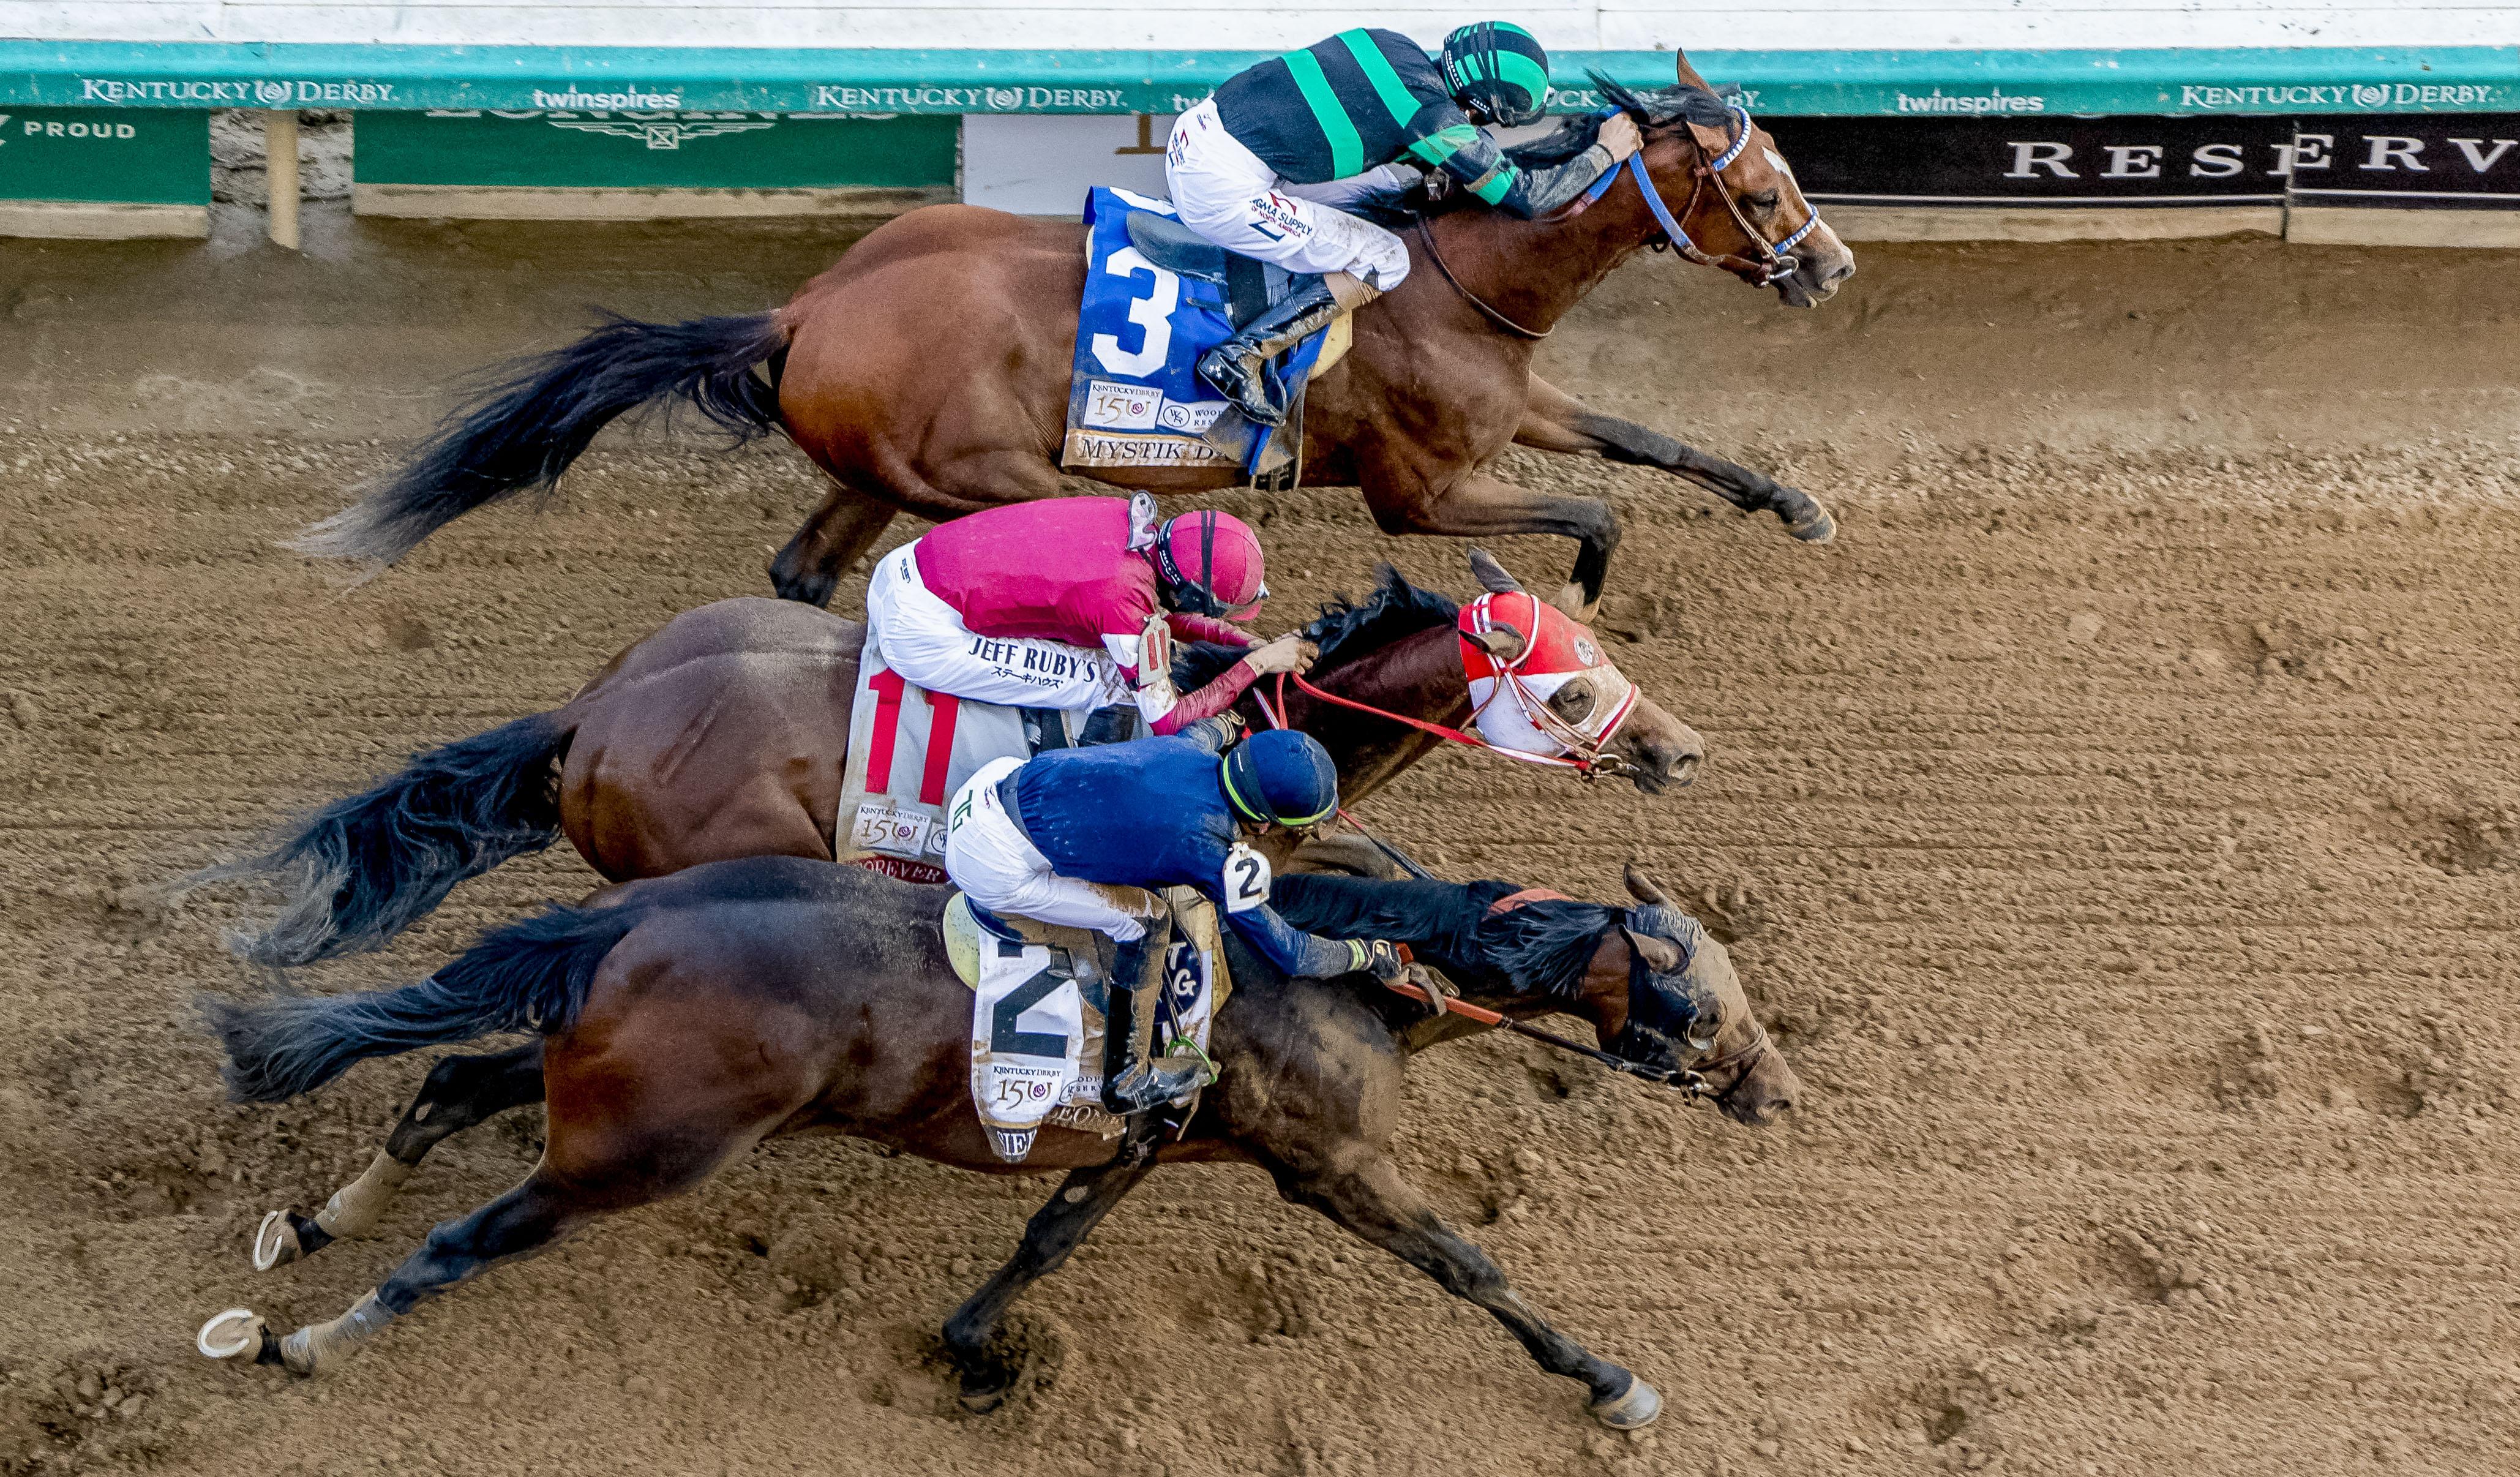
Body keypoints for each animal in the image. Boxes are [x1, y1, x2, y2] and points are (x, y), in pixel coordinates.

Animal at [206, 857, 1804, 1421]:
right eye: (1705, 990)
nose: (1781, 1091)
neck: (1351, 971)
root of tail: (632, 911)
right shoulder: (1332, 1164)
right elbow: (1470, 1266)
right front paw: (1609, 1379)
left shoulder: (1141, 1143)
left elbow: (1046, 1238)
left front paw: (974, 1346)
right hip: (646, 1147)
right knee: (463, 1237)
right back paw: (316, 1338)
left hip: (598, 1088)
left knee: (446, 1083)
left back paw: (325, 1223)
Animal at [299, 57, 1875, 610]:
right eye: (1755, 187)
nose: (1830, 264)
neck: (1447, 268)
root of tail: (812, 304)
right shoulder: (1423, 490)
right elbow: (1597, 509)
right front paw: (1585, 597)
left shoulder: (1512, 407)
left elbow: (1651, 445)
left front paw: (1797, 503)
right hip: (988, 476)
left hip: (874, 471)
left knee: (804, 570)